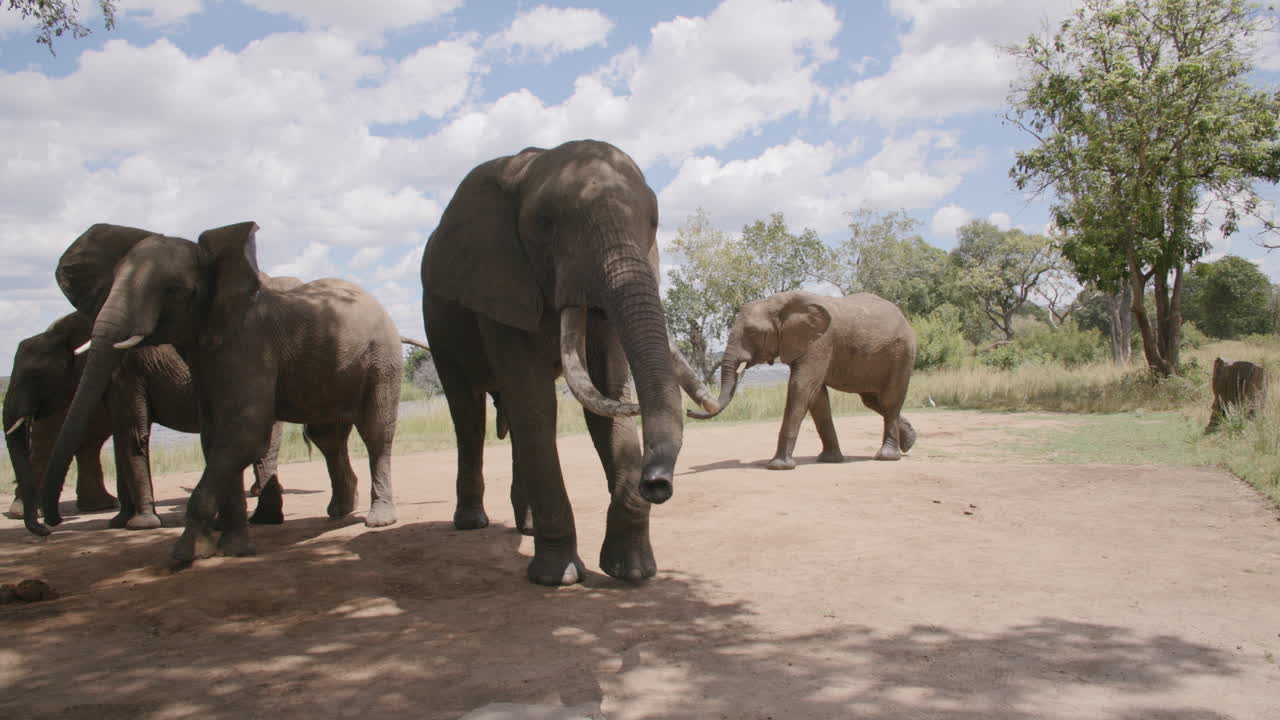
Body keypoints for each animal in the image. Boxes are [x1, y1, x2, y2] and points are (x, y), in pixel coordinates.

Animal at [27, 222, 405, 567]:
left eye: (174, 290)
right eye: (111, 283)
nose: (50, 525)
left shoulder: (249, 345)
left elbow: (244, 433)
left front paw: (186, 554)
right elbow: (217, 438)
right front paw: (233, 549)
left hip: (383, 357)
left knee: (375, 432)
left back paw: (378, 519)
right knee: (328, 436)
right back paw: (339, 512)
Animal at [421, 139, 718, 586]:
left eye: (654, 221)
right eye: (545, 224)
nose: (657, 485)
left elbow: (608, 397)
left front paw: (632, 572)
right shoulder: (500, 284)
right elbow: (536, 404)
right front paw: (557, 577)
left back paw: (526, 527)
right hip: (438, 326)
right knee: (468, 416)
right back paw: (472, 522)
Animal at [690, 291, 917, 469]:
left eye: (753, 332)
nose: (688, 411)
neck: (778, 303)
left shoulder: (820, 343)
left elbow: (801, 387)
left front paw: (778, 466)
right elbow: (817, 398)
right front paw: (829, 460)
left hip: (902, 353)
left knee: (889, 400)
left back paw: (887, 456)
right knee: (871, 400)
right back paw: (910, 441)